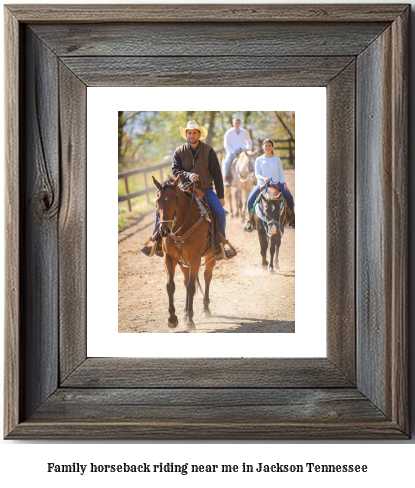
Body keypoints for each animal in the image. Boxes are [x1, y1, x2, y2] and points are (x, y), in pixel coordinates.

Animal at [154, 173, 218, 330]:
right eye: (157, 201)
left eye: (174, 200)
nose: (164, 230)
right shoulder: (169, 258)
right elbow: (171, 286)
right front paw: (172, 318)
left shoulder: (195, 259)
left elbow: (191, 287)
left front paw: (190, 319)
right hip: (183, 262)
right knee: (185, 280)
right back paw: (184, 313)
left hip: (210, 256)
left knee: (207, 277)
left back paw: (205, 309)